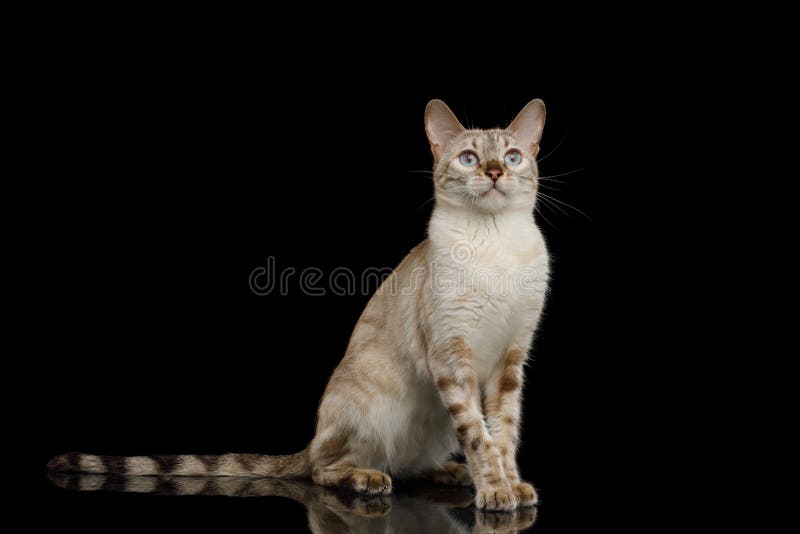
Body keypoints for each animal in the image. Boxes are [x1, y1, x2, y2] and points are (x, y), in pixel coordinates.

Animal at [48, 98, 552, 512]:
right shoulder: (452, 355)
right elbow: (480, 436)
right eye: (469, 158)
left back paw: (449, 472)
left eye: (512, 156)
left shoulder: (511, 359)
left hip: (432, 425)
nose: (494, 172)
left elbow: (503, 432)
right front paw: (495, 492)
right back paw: (369, 479)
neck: (496, 244)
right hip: (371, 409)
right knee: (325, 468)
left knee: (406, 463)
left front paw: (511, 486)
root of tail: (312, 439)